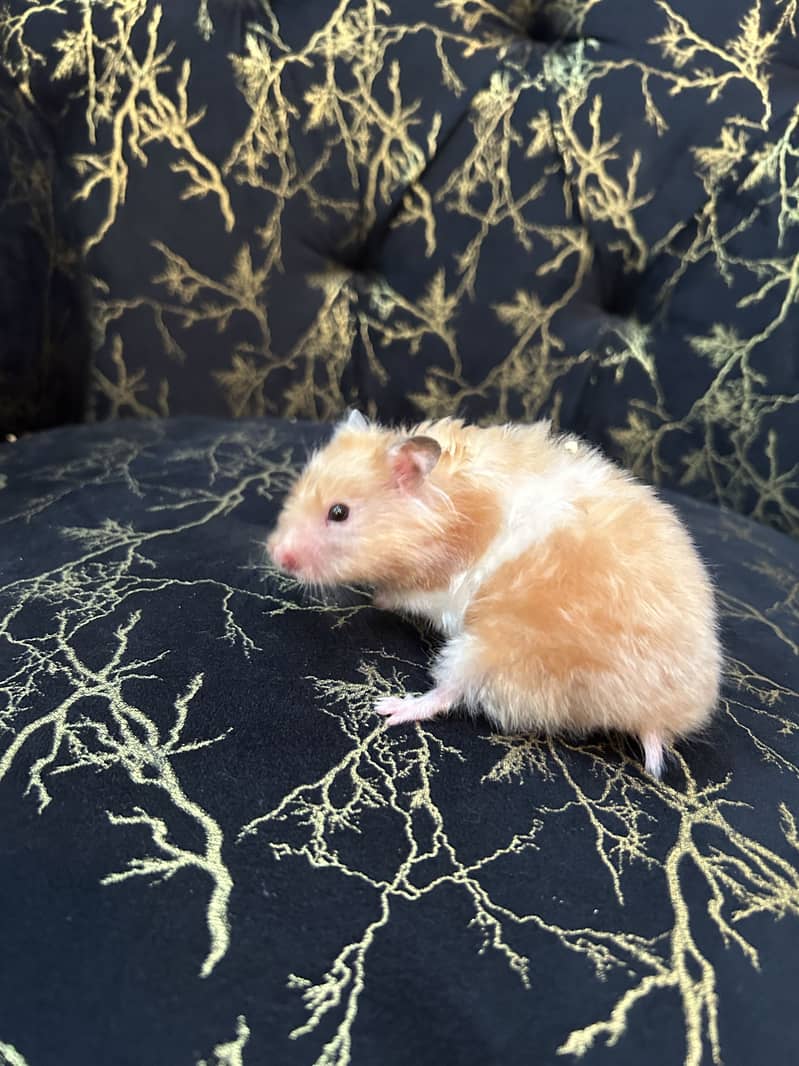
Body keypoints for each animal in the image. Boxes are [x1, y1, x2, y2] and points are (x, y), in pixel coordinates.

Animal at [267, 410, 722, 778]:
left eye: (338, 512)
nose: (276, 555)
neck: (452, 512)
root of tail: (653, 715)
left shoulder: (435, 586)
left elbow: (400, 596)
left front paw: (376, 598)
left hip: (496, 647)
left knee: (449, 693)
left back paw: (391, 707)